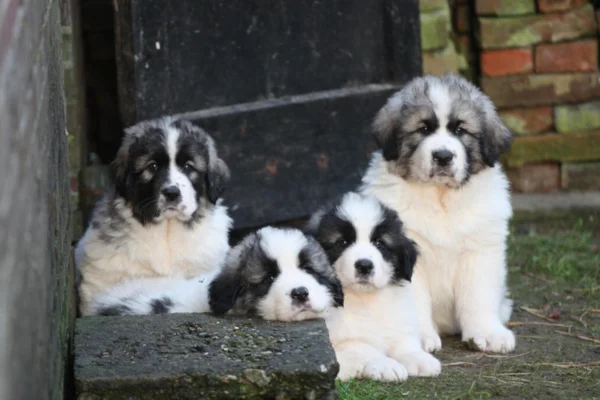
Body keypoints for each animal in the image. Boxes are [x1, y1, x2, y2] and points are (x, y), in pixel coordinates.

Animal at [304, 193, 440, 382]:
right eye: (342, 242)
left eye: (379, 243)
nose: (364, 265)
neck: (363, 299)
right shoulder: (337, 343)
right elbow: (363, 347)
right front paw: (388, 365)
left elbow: (403, 341)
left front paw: (419, 359)